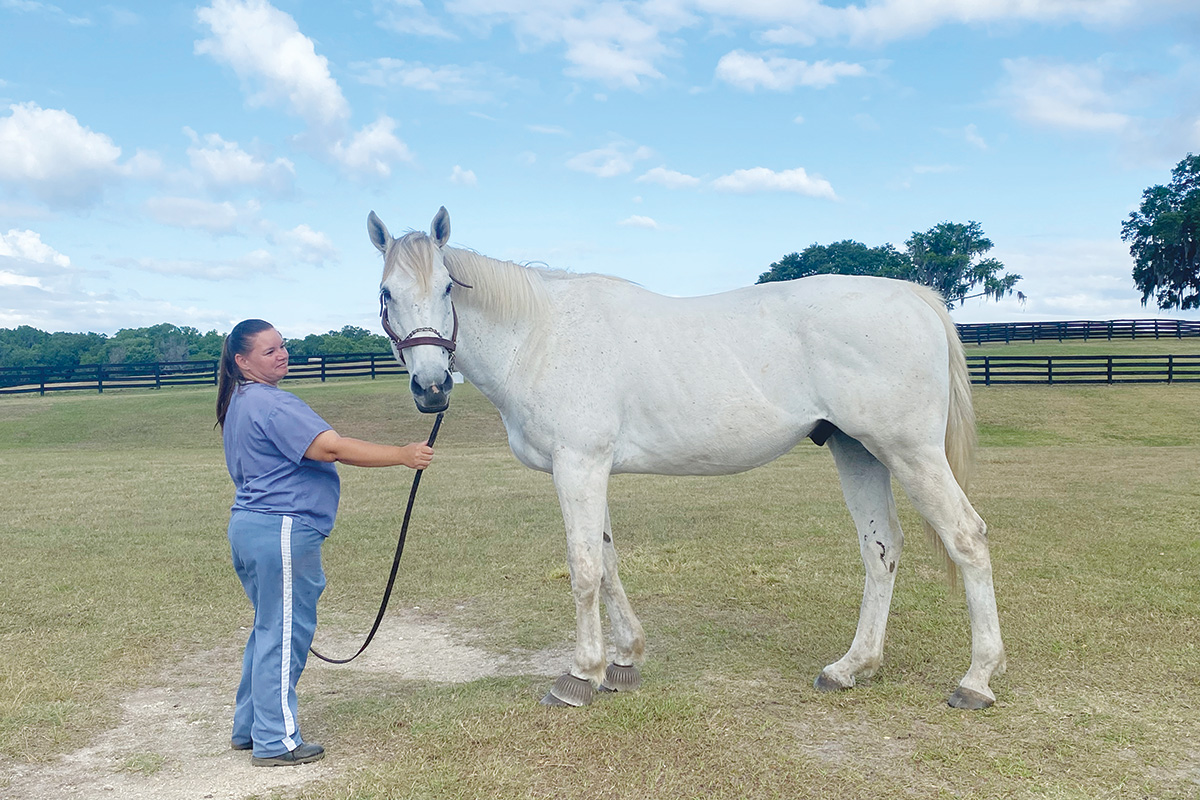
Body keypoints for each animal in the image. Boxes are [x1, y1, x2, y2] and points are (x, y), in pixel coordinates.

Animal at [369, 208, 1008, 714]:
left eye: (448, 287)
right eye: (386, 294)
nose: (432, 388)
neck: (541, 336)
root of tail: (912, 295)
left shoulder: (578, 464)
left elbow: (584, 568)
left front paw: (580, 675)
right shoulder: (591, 469)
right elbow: (609, 562)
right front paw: (623, 663)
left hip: (910, 452)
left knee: (968, 537)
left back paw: (976, 680)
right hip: (858, 450)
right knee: (881, 549)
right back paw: (851, 668)